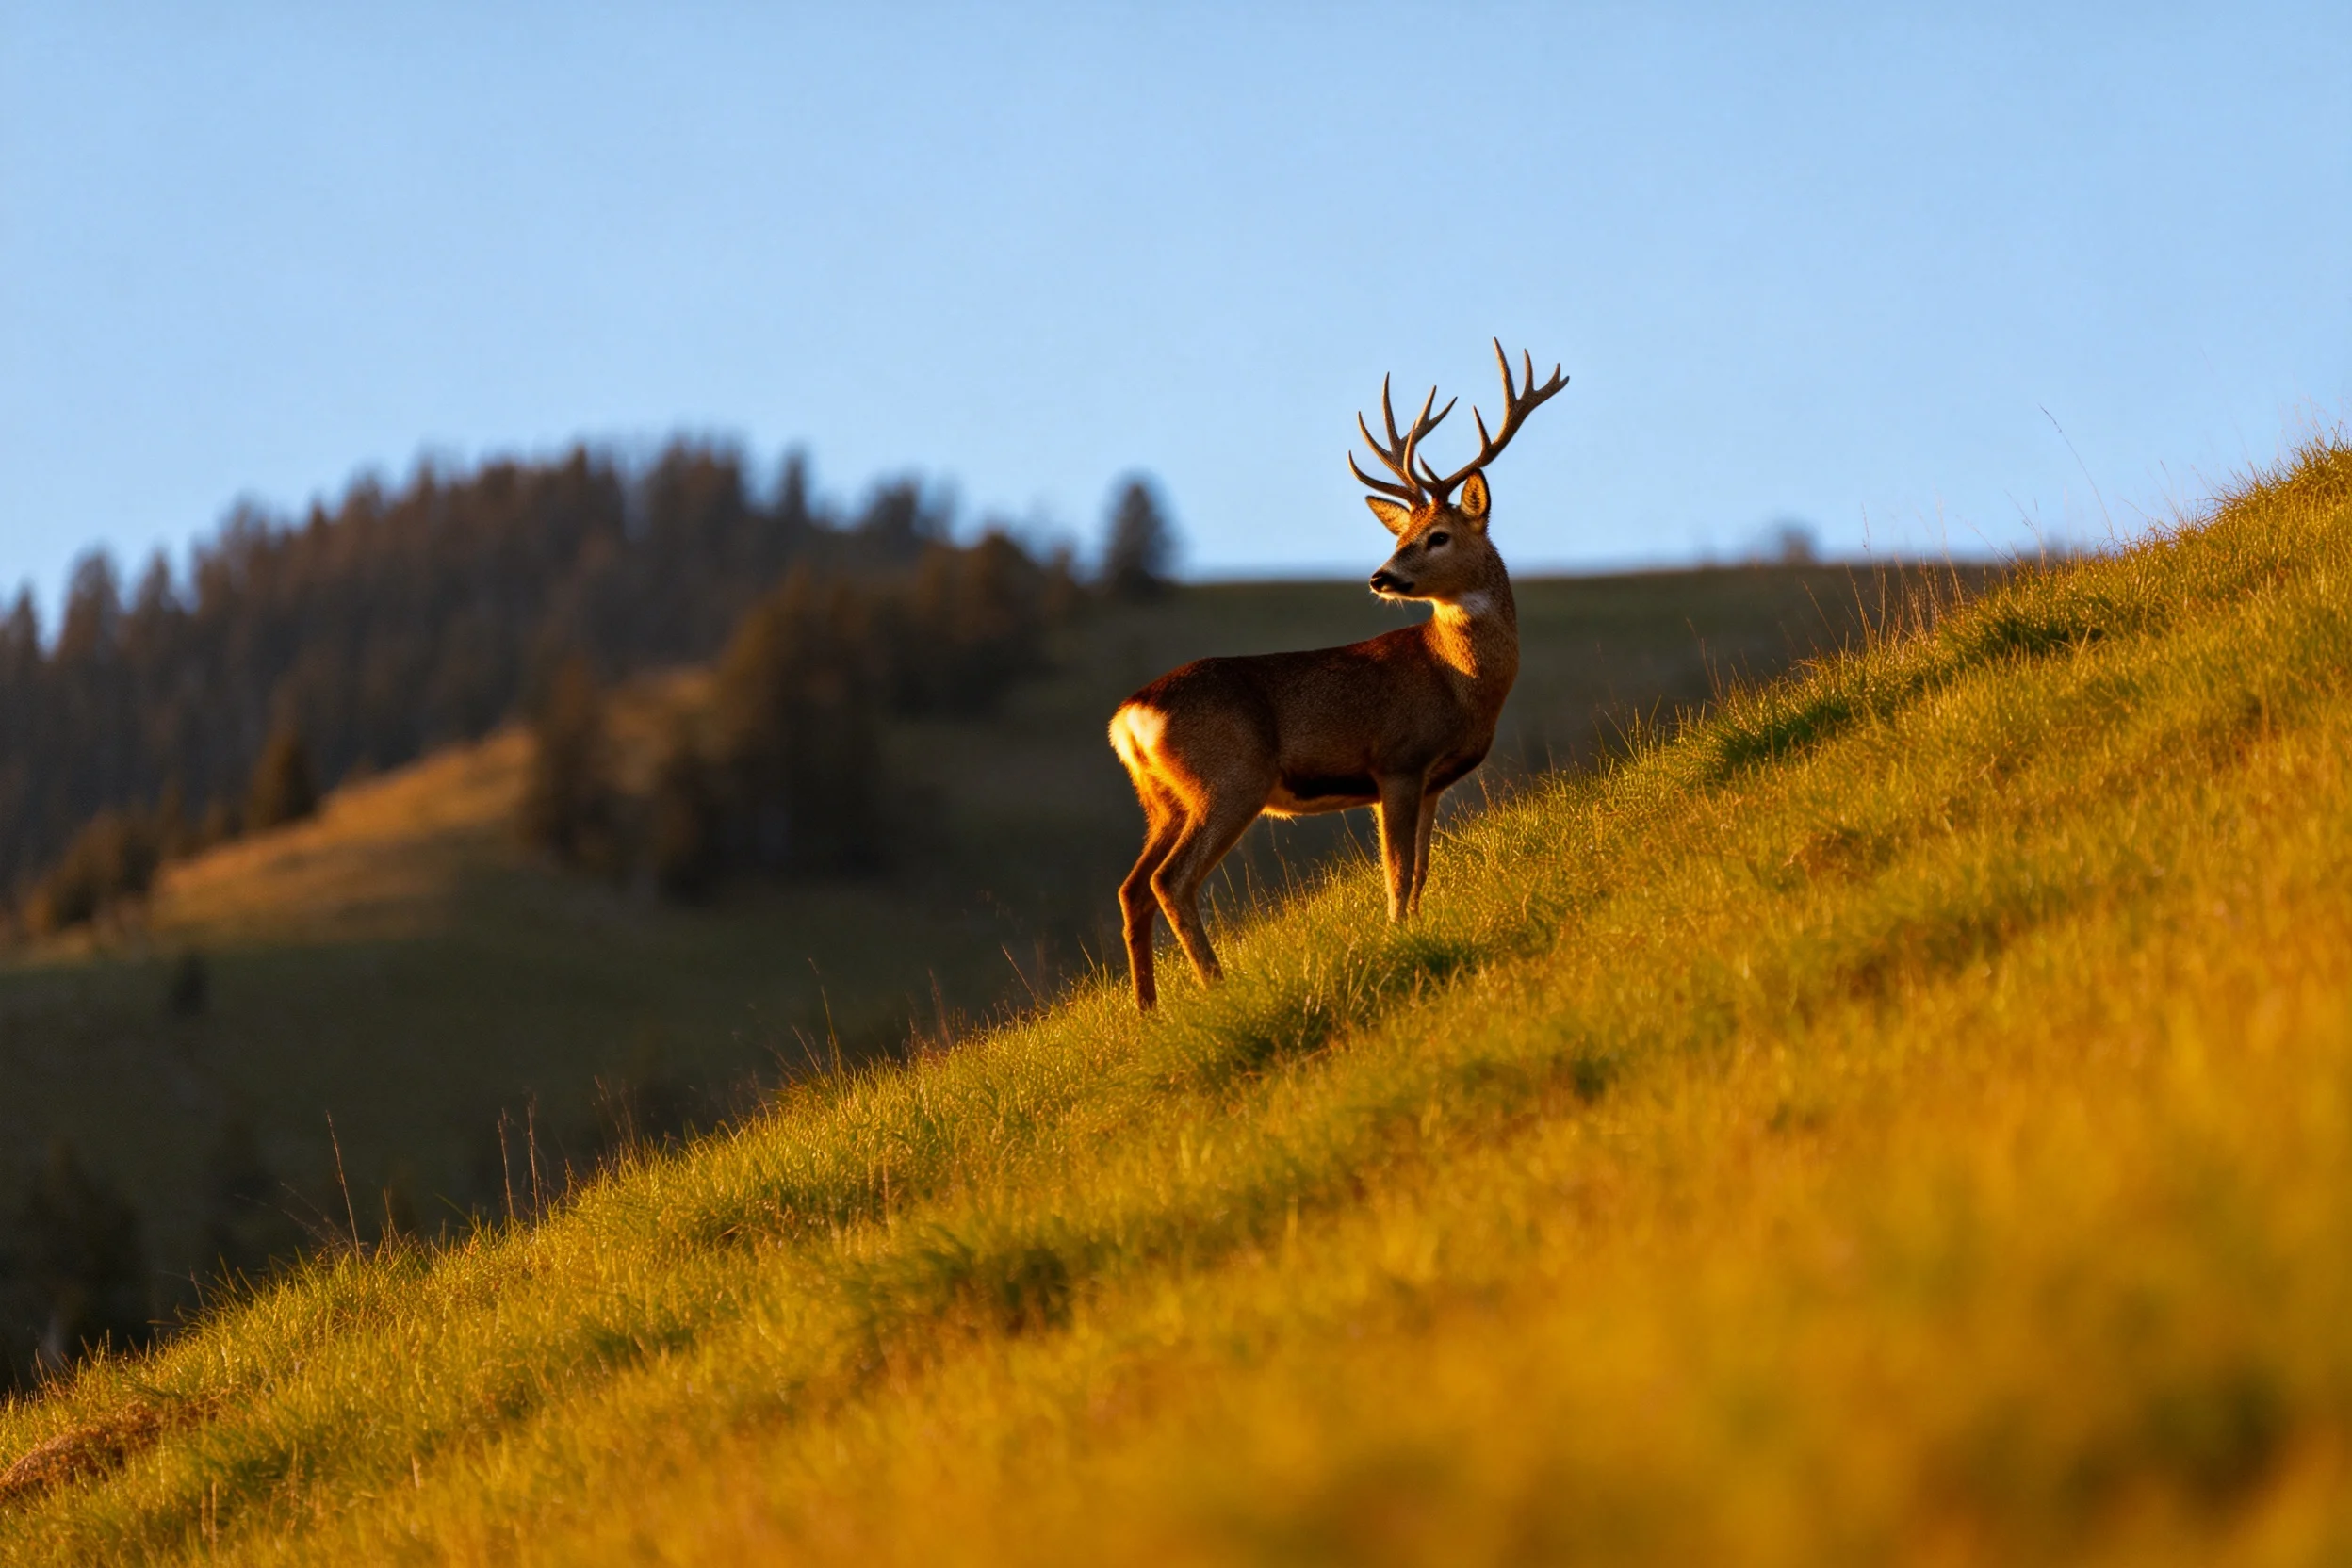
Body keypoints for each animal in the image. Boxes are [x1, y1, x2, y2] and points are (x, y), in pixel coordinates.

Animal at [1107, 341, 1568, 1010]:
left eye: (1437, 535)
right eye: (1402, 534)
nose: (1381, 577)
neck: (1458, 682)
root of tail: (1131, 718)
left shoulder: (1431, 780)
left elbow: (1420, 867)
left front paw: (1412, 929)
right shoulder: (1396, 761)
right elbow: (1396, 870)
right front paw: (1397, 936)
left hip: (1163, 799)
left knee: (1133, 886)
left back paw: (1149, 1010)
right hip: (1230, 779)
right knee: (1171, 881)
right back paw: (1216, 985)